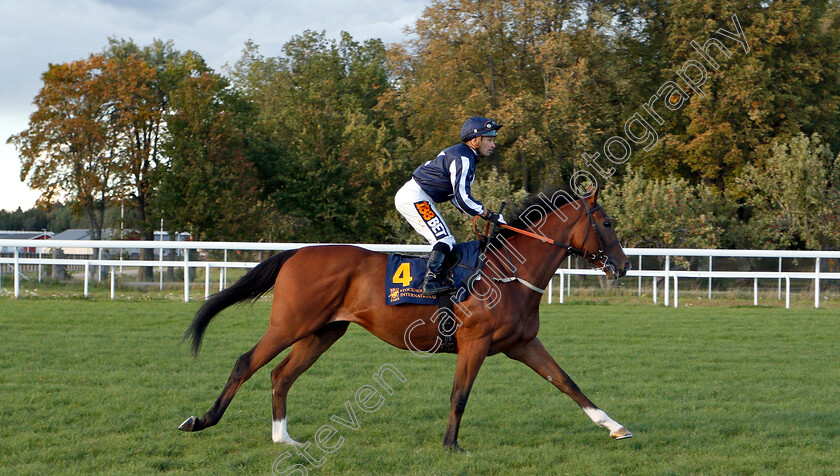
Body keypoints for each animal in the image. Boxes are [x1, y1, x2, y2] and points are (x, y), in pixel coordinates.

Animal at [179, 187, 636, 450]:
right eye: (607, 222)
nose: (624, 265)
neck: (509, 274)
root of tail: (296, 253)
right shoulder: (474, 343)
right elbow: (459, 395)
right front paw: (451, 445)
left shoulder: (523, 344)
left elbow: (567, 383)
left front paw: (614, 427)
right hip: (290, 325)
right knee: (246, 363)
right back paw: (201, 420)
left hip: (323, 332)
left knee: (281, 375)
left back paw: (284, 438)